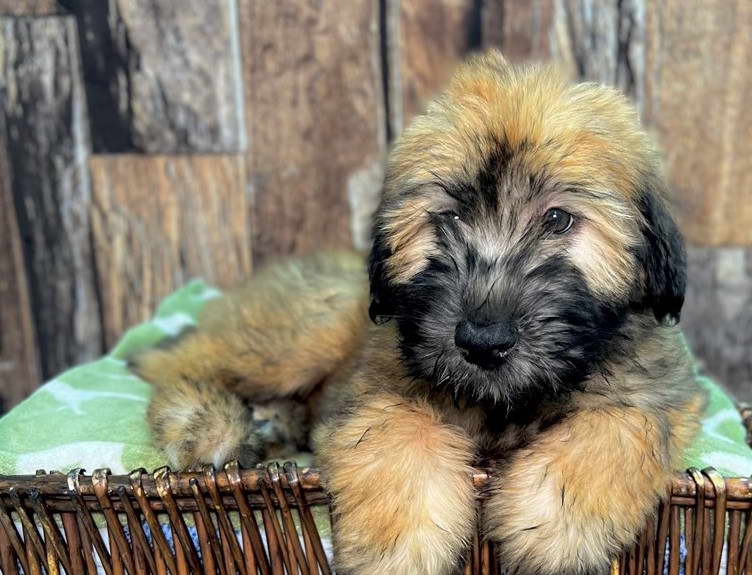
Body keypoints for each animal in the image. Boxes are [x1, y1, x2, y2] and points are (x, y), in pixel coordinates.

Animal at [131, 50, 704, 575]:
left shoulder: (663, 393)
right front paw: (401, 542)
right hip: (304, 329)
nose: (482, 340)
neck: (504, 403)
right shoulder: (368, 386)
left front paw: (554, 525)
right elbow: (394, 428)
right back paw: (204, 425)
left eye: (558, 219)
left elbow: (625, 424)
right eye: (448, 218)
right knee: (178, 360)